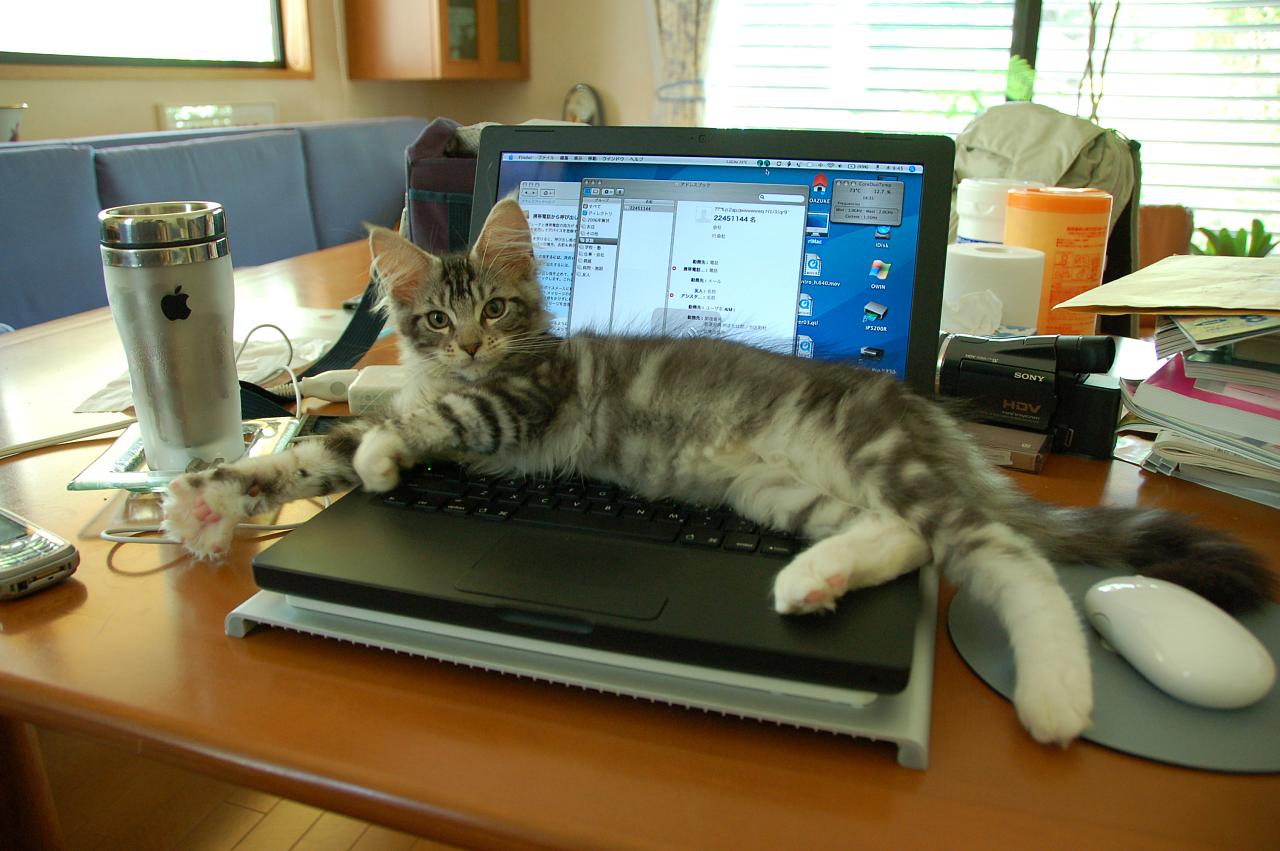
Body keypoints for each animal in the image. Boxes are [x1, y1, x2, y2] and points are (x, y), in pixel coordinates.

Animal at [165, 197, 1274, 742]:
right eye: (436, 316)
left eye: (497, 310)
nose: (470, 342)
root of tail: (922, 408)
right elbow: (313, 452)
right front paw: (209, 503)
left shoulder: (524, 400)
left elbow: (433, 421)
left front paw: (389, 447)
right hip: (784, 489)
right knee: (905, 537)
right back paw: (811, 580)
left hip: (877, 459)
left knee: (1001, 551)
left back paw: (1052, 697)